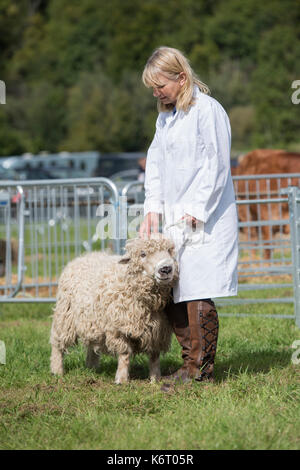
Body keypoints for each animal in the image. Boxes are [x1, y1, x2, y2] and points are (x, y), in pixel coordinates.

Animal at [49, 237, 178, 384]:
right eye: (142, 254)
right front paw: (122, 379)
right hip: (65, 316)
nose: (166, 269)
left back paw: (91, 367)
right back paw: (57, 370)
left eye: (169, 251)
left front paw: (155, 379)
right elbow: (125, 354)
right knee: (57, 344)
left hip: (92, 321)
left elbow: (155, 357)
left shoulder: (158, 331)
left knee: (92, 344)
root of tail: (83, 257)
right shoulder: (120, 328)